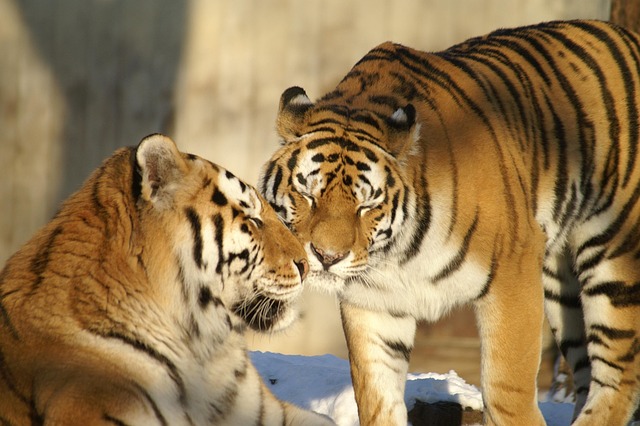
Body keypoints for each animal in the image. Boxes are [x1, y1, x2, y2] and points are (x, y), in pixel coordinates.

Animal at [259, 19, 640, 426]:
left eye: (367, 205)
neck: (397, 254)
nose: (327, 257)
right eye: (307, 194)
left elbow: (507, 390)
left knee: (618, 377)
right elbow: (376, 397)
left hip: (615, 255)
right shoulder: (374, 303)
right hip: (561, 286)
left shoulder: (514, 273)